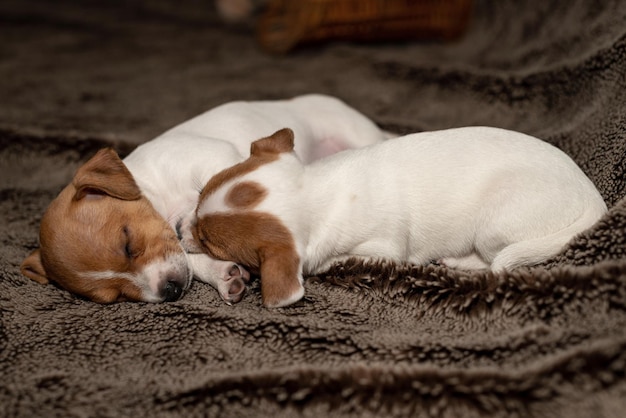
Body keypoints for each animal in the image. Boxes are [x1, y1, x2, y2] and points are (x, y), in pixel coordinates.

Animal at [19, 94, 388, 304]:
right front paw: (223, 274)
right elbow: (190, 255)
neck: (161, 196)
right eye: (114, 297)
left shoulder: (214, 158)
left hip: (355, 131)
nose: (169, 291)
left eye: (127, 243)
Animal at [194, 126, 604, 306]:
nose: (184, 227)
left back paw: (460, 261)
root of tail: (593, 200)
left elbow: (341, 258)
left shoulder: (384, 248)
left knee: (494, 260)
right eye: (199, 196)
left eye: (208, 242)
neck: (315, 191)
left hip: (493, 227)